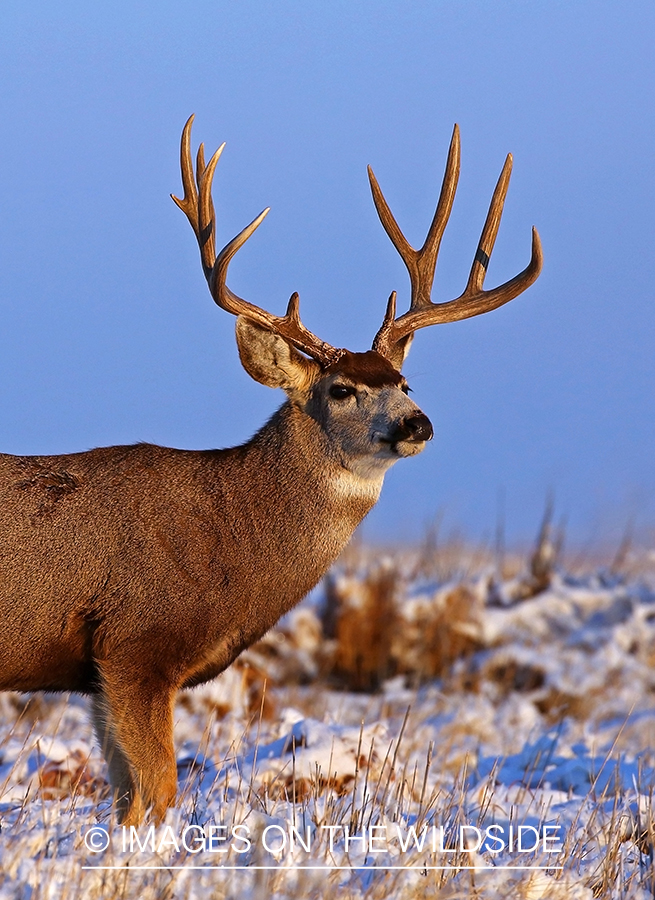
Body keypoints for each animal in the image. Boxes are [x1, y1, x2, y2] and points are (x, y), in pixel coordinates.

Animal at [0, 116, 542, 825]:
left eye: (404, 382)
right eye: (341, 389)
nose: (417, 424)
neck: (229, 534)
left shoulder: (97, 675)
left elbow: (124, 797)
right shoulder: (135, 645)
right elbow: (158, 792)